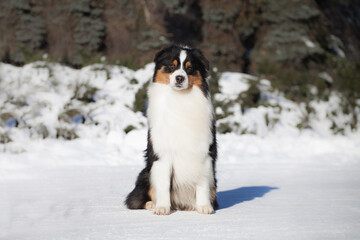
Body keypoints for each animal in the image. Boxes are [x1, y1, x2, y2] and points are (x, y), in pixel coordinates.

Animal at [125, 45, 218, 216]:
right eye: (171, 66)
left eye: (190, 68)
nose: (179, 78)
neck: (179, 99)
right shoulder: (162, 154)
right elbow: (163, 186)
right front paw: (162, 208)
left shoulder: (204, 152)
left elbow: (202, 182)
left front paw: (204, 207)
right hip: (145, 173)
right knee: (137, 198)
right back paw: (152, 204)